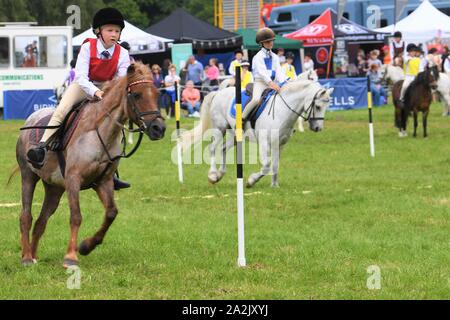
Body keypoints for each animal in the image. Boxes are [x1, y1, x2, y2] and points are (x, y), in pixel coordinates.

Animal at [13, 62, 166, 268]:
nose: (159, 129)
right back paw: (27, 258)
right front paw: (70, 257)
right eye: (136, 95)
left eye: (156, 94)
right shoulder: (73, 179)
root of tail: (31, 117)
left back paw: (34, 255)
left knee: (41, 221)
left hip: (54, 187)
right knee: (25, 216)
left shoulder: (104, 181)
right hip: (28, 176)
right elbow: (76, 216)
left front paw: (86, 246)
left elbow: (111, 213)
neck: (101, 132)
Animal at [181, 78, 332, 188]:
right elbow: (266, 166)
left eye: (327, 106)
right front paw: (251, 181)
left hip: (234, 135)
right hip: (220, 128)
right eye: (318, 106)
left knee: (223, 149)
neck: (281, 111)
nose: (318, 128)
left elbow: (275, 165)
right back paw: (213, 175)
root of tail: (219, 92)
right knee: (212, 148)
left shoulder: (280, 144)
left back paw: (220, 174)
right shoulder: (264, 142)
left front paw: (274, 185)